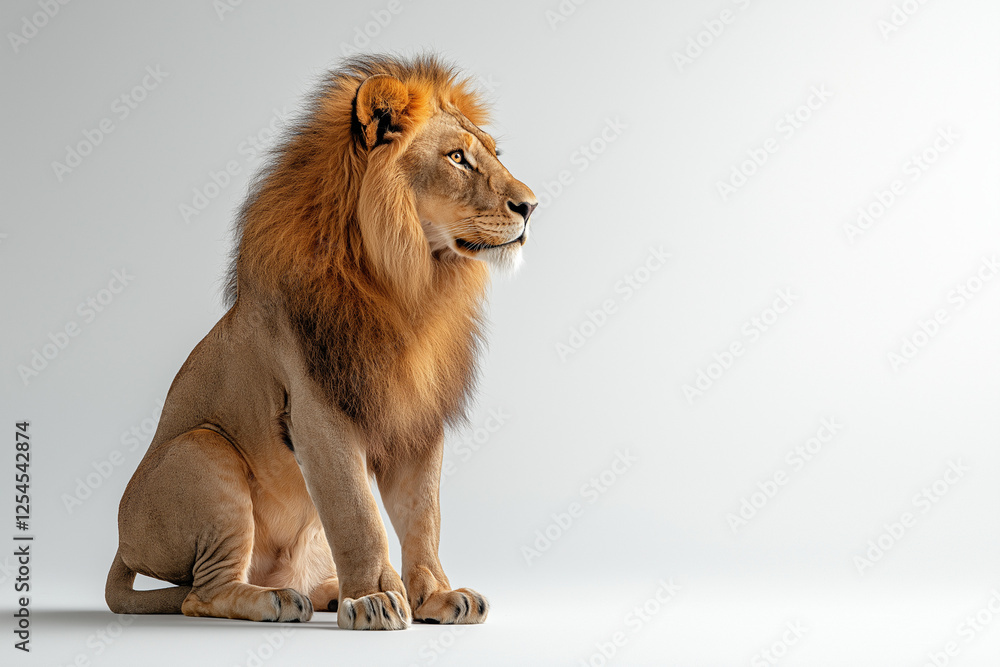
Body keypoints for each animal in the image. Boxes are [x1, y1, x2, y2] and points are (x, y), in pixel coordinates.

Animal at [105, 54, 536, 630]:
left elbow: (423, 517)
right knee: (201, 592)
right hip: (203, 450)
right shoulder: (317, 413)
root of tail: (122, 544)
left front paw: (435, 597)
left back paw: (325, 592)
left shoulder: (416, 417)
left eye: (493, 154)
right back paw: (279, 602)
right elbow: (358, 515)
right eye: (457, 158)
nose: (531, 206)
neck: (411, 284)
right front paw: (376, 599)